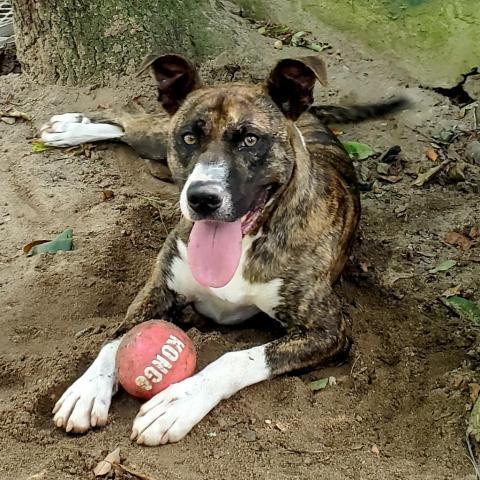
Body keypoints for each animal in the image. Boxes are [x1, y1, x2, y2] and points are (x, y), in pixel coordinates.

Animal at [42, 53, 408, 446]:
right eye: (189, 137)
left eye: (250, 139)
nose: (202, 197)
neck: (248, 243)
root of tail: (308, 113)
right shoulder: (158, 288)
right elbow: (118, 336)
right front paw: (86, 389)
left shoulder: (329, 330)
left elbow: (235, 358)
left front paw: (179, 401)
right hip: (157, 136)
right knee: (130, 122)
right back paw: (69, 128)